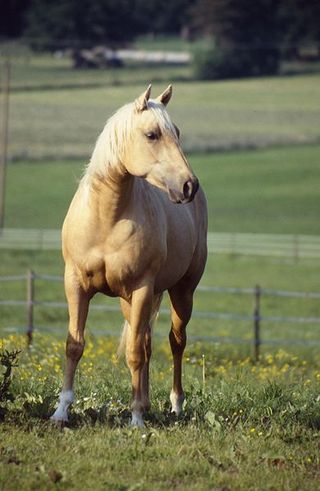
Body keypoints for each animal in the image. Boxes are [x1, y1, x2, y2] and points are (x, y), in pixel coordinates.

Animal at [51, 84, 208, 426]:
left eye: (176, 132)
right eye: (151, 134)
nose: (188, 185)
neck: (106, 218)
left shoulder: (142, 288)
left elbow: (134, 353)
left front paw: (136, 418)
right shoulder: (75, 284)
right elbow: (74, 345)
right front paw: (61, 411)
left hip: (182, 291)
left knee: (175, 341)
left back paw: (175, 405)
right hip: (129, 300)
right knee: (146, 342)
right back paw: (147, 403)